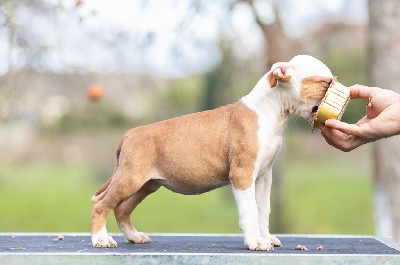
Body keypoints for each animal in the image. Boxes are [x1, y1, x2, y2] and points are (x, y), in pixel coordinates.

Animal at [90, 54, 334, 250]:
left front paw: (265, 237)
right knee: (100, 204)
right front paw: (255, 241)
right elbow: (250, 210)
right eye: (325, 82)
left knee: (121, 208)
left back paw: (134, 236)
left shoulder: (264, 176)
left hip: (146, 184)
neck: (269, 110)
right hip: (130, 178)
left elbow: (263, 209)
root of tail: (129, 134)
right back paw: (100, 239)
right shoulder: (242, 174)